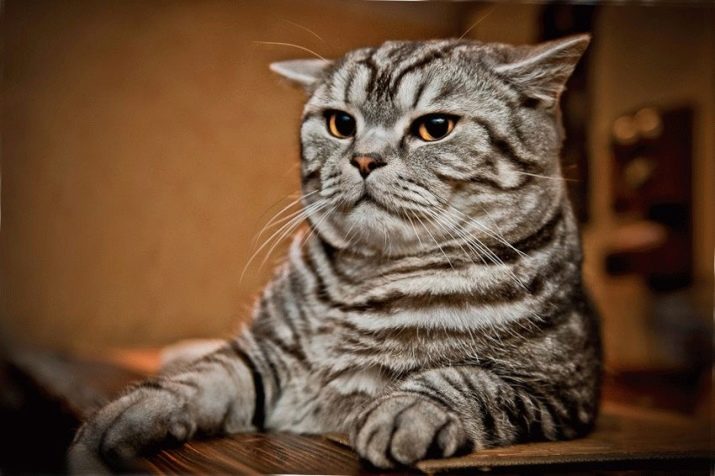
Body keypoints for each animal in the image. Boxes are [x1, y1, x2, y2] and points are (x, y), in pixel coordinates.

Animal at [69, 34, 601, 471]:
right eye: (341, 124)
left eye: (435, 127)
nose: (364, 158)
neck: (364, 282)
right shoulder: (264, 356)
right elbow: (207, 376)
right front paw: (126, 414)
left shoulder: (560, 392)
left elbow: (469, 382)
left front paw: (407, 409)